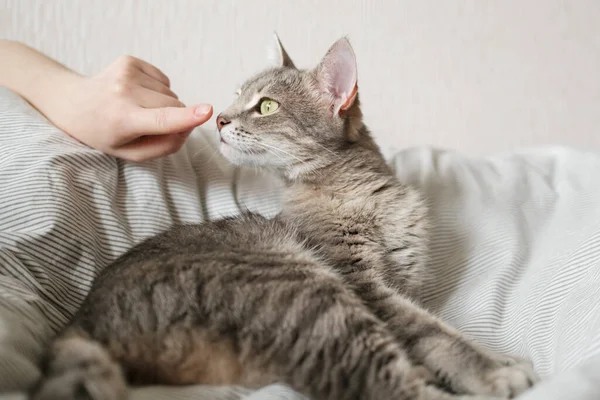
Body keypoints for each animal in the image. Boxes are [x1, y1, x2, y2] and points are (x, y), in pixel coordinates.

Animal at [31, 36, 540, 400]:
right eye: (236, 97)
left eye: (266, 105)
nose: (219, 119)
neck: (360, 190)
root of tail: (77, 323)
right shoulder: (361, 282)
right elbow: (430, 330)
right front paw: (491, 369)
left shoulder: (400, 280)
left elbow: (431, 323)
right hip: (305, 292)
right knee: (381, 382)